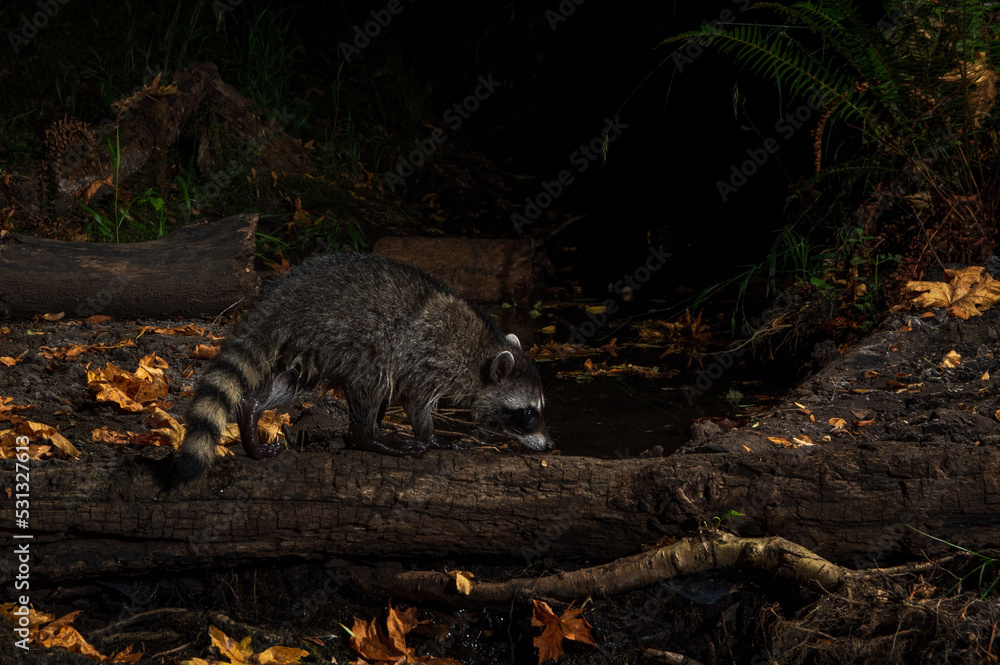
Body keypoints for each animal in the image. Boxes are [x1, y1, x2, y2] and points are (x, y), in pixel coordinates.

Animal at [173, 252, 552, 480]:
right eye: (527, 413)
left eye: (539, 409)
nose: (549, 446)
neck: (482, 351)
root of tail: (280, 296)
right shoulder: (427, 356)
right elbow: (415, 401)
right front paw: (432, 436)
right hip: (347, 333)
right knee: (372, 377)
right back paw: (370, 438)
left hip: (312, 343)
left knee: (289, 382)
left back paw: (251, 416)